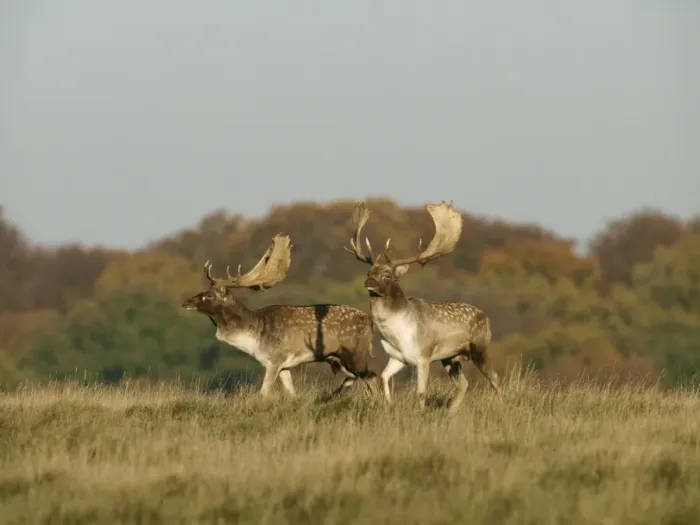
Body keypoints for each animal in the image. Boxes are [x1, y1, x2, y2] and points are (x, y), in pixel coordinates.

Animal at [182, 233, 377, 398]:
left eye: (209, 295)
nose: (185, 302)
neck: (254, 338)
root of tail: (369, 321)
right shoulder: (284, 366)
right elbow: (292, 393)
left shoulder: (274, 360)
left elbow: (263, 393)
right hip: (339, 359)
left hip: (355, 352)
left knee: (372, 378)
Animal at [344, 201, 501, 414]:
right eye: (369, 271)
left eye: (387, 274)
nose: (368, 282)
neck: (398, 333)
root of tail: (487, 317)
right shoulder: (398, 357)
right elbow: (384, 378)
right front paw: (389, 405)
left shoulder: (424, 356)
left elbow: (421, 392)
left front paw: (421, 413)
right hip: (450, 358)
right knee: (464, 384)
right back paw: (450, 413)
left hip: (480, 347)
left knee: (495, 379)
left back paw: (501, 407)